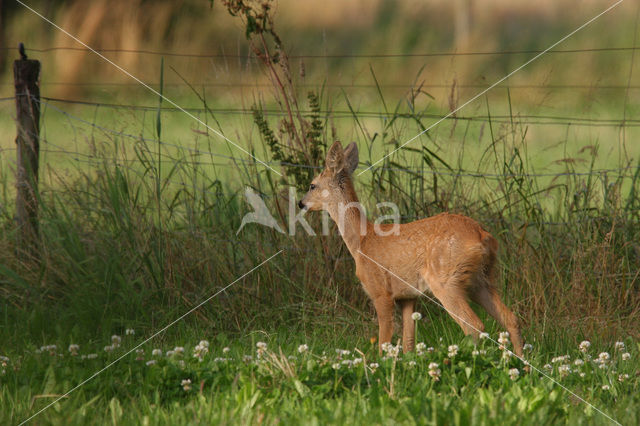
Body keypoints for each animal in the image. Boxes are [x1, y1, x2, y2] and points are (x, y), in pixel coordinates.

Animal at [298, 141, 524, 356]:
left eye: (312, 185)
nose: (300, 203)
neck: (362, 241)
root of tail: (483, 236)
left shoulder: (381, 291)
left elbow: (383, 343)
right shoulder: (408, 296)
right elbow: (408, 343)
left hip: (446, 279)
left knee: (474, 326)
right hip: (481, 279)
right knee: (511, 318)